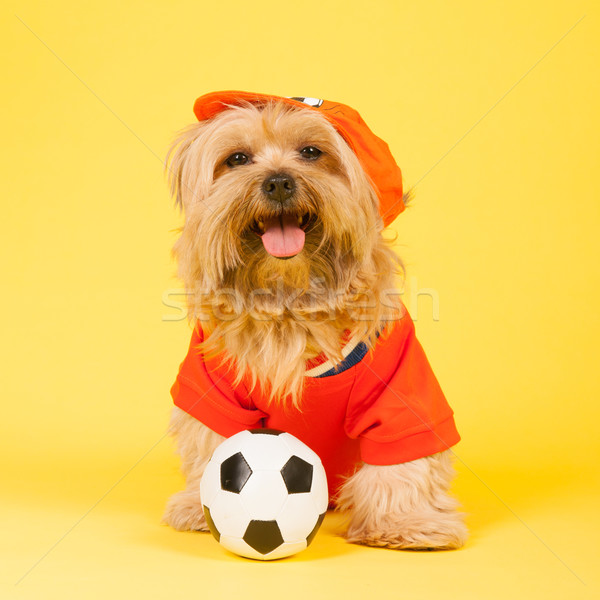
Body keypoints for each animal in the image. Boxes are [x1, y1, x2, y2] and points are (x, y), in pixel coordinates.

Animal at [162, 90, 466, 548]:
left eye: (310, 152)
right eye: (237, 159)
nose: (278, 182)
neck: (290, 302)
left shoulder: (400, 386)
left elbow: (403, 461)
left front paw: (405, 522)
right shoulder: (211, 388)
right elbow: (211, 444)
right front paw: (200, 507)